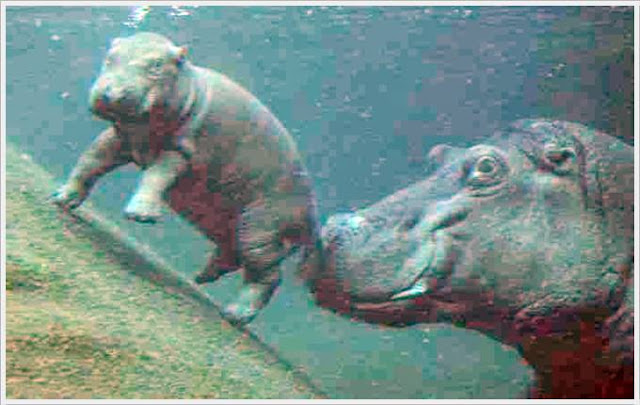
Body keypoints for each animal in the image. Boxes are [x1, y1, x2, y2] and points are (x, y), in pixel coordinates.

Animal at [50, 31, 322, 324]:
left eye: (157, 65)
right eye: (110, 56)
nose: (110, 93)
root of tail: (313, 216)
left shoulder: (180, 150)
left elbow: (155, 177)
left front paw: (140, 215)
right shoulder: (122, 136)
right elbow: (91, 161)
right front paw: (61, 197)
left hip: (261, 225)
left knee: (268, 274)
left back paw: (236, 314)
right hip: (231, 223)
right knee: (233, 254)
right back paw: (201, 277)